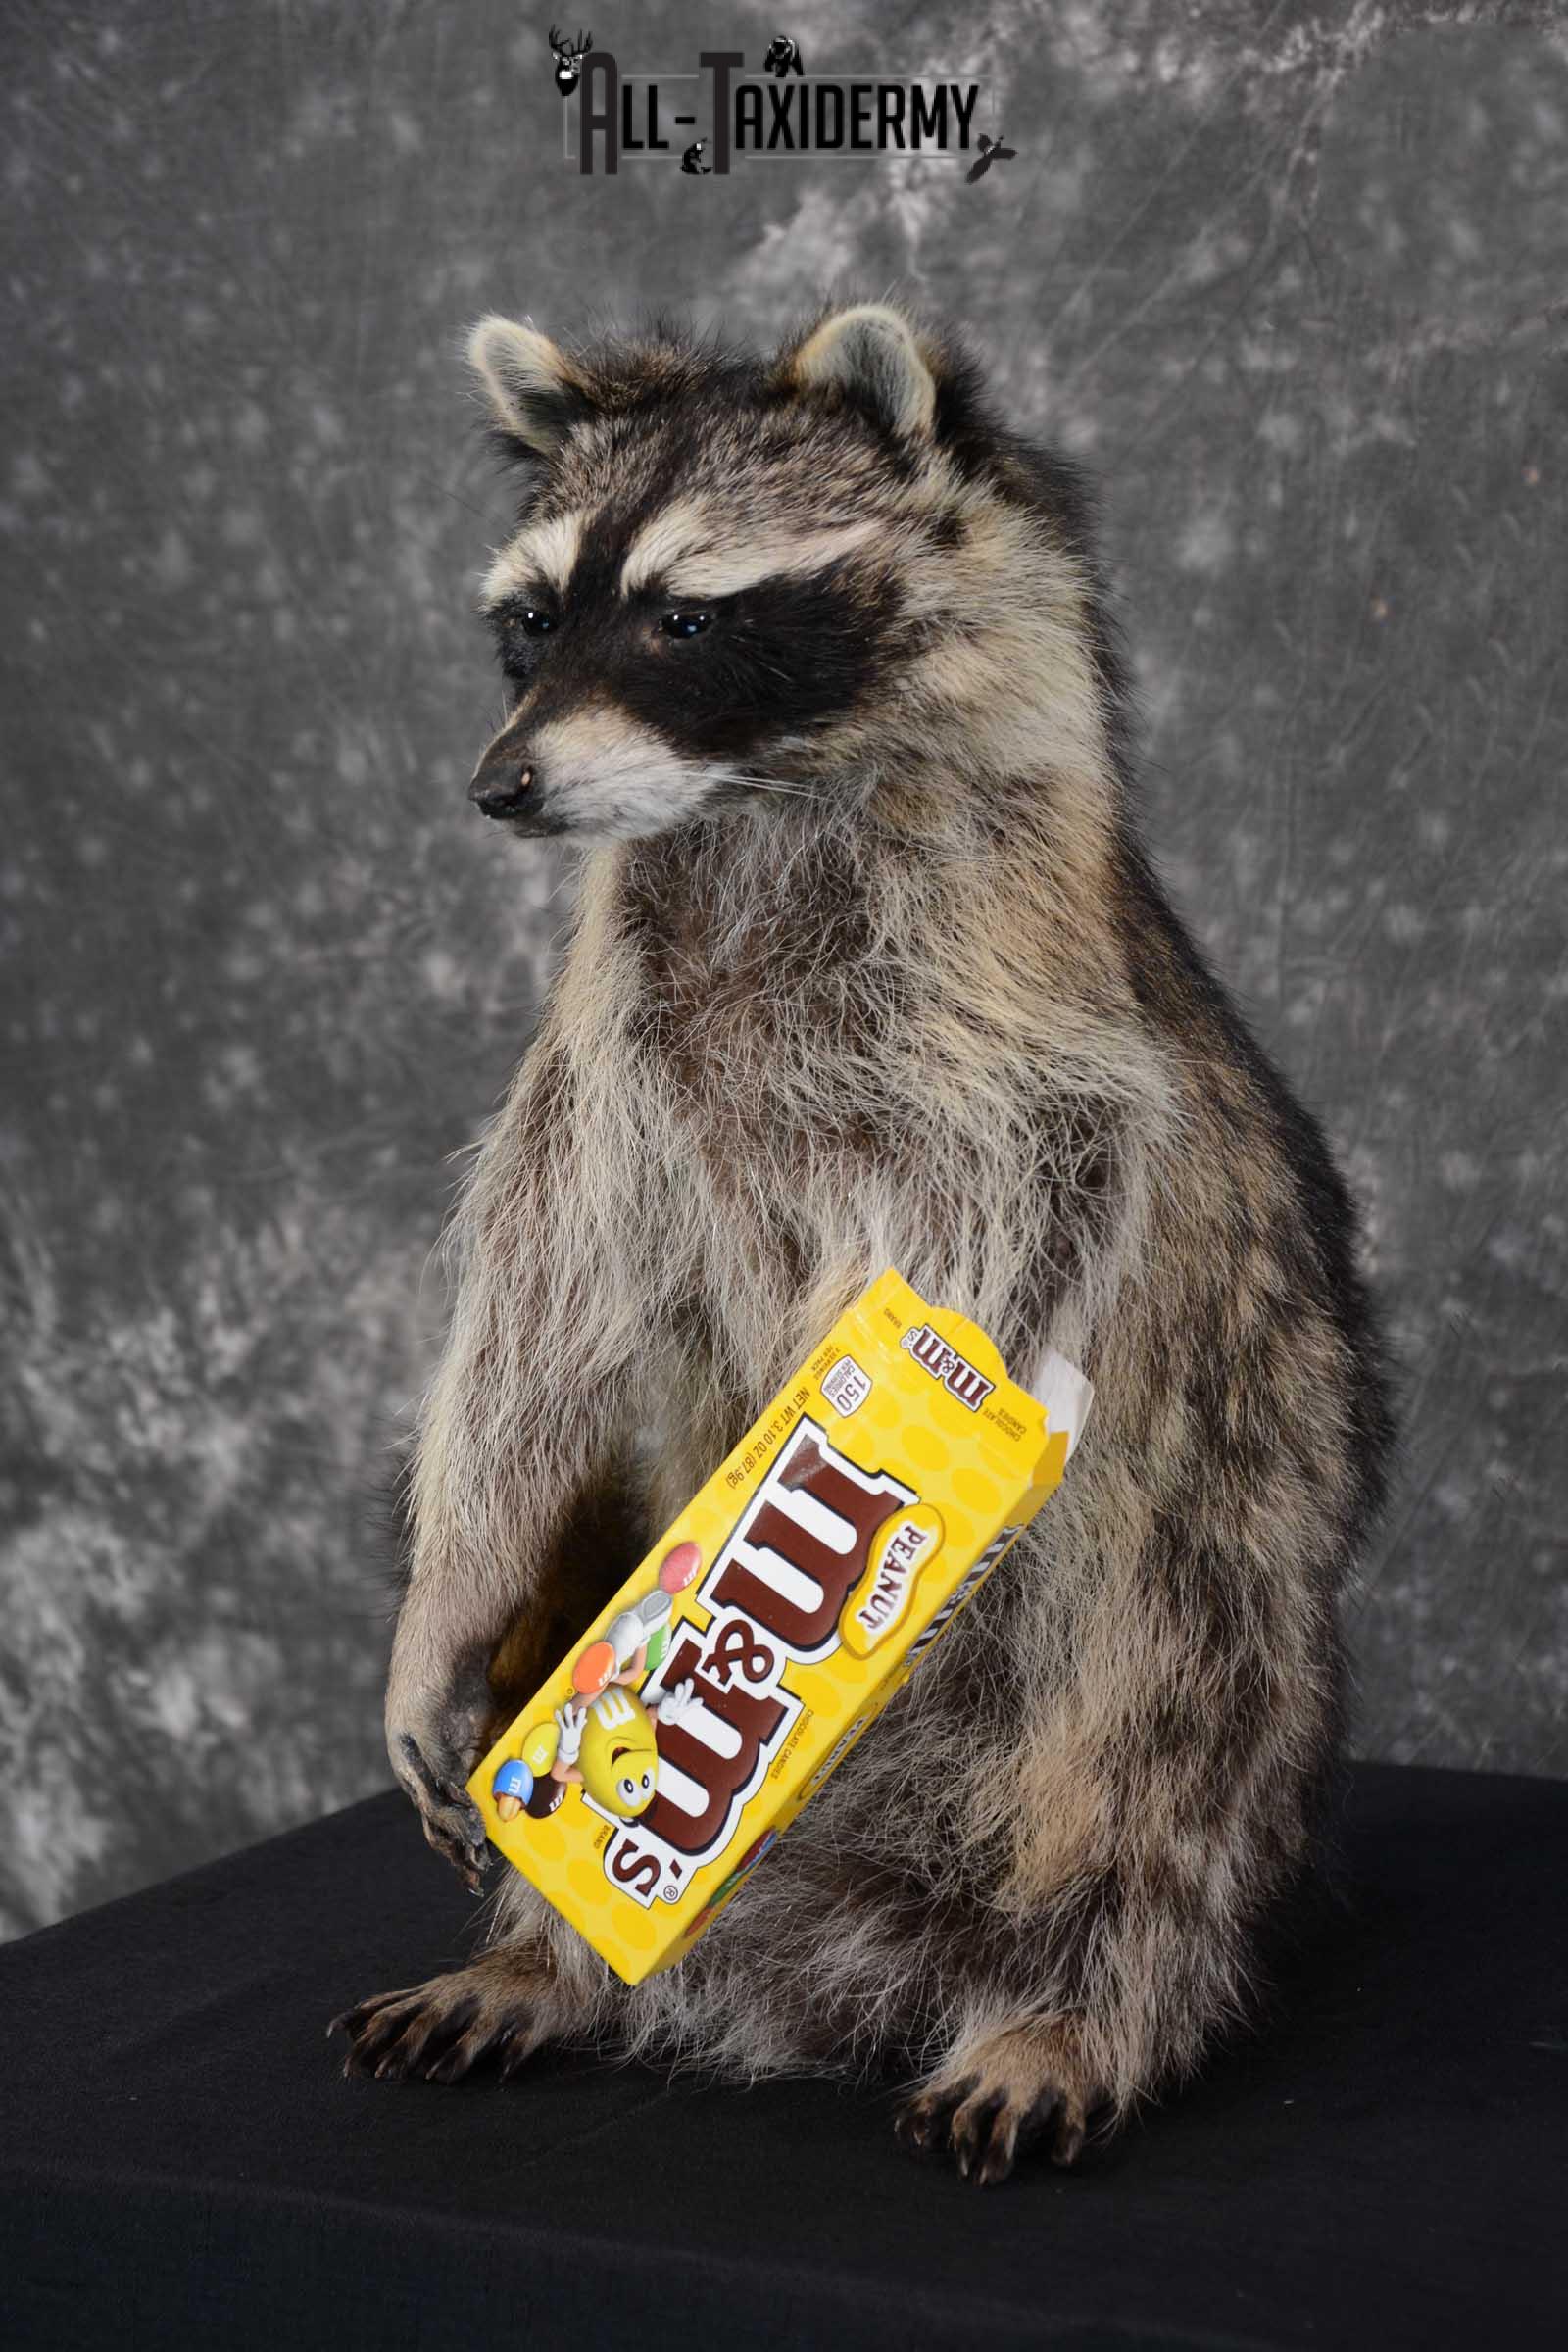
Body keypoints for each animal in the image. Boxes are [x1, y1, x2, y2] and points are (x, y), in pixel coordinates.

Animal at [332, 301, 1395, 2183]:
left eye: (685, 616)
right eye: (534, 616)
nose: (503, 784)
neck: (745, 798)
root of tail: (852, 1964)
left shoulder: (1006, 1001)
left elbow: (998, 1233)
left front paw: (837, 1508)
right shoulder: (609, 1041)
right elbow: (538, 1289)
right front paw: (447, 1605)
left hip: (1208, 1574)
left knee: (1152, 1760)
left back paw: (1073, 2010)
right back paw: (542, 1955)